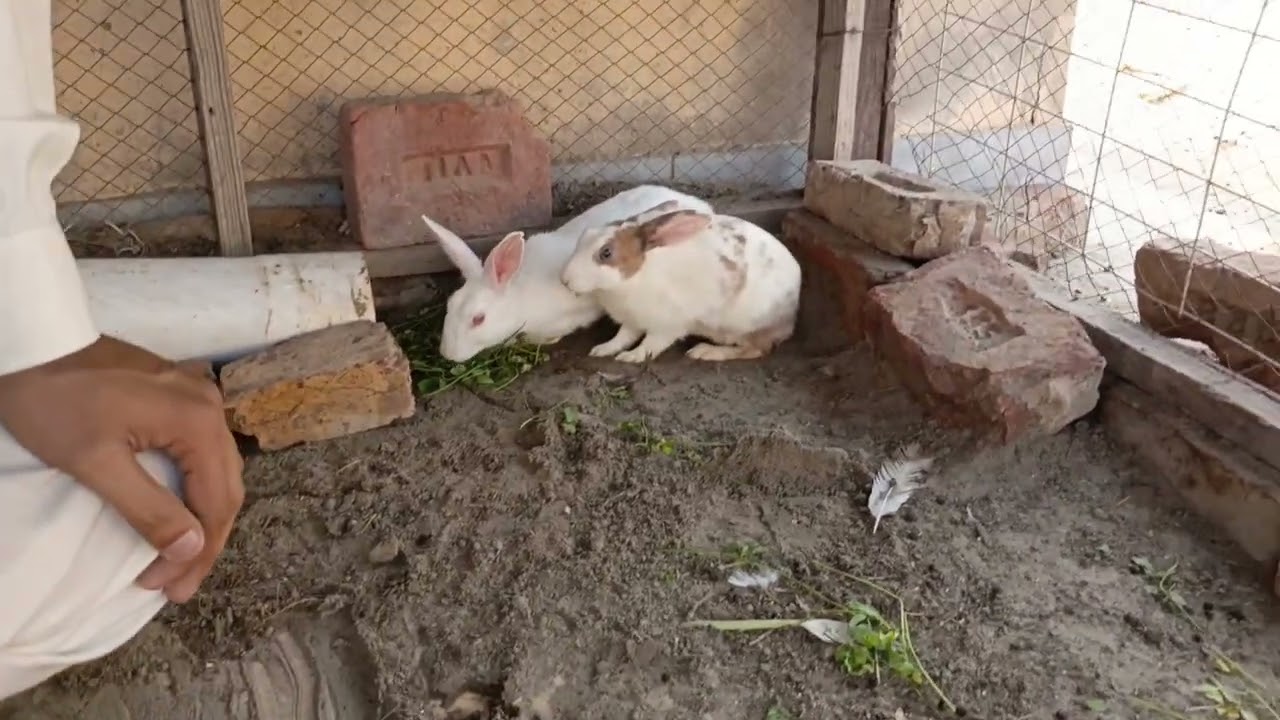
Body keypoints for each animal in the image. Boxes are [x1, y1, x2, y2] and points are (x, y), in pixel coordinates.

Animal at [559, 201, 801, 364]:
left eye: (606, 253)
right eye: (585, 235)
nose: (565, 280)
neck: (636, 277)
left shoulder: (669, 324)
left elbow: (651, 344)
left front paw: (632, 357)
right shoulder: (632, 319)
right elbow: (623, 336)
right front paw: (603, 349)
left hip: (746, 328)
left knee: (755, 351)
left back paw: (704, 352)